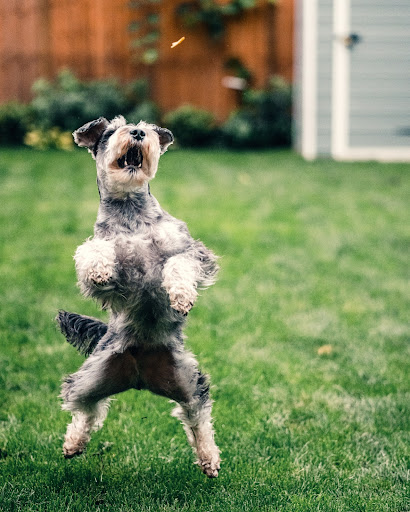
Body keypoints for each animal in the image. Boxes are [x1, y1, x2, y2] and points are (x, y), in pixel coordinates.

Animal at [57, 115, 221, 476]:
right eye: (110, 131)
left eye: (143, 126)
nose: (136, 132)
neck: (131, 215)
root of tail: (140, 377)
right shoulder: (113, 272)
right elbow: (93, 253)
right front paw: (100, 267)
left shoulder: (193, 252)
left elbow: (178, 264)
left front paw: (181, 296)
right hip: (93, 375)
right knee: (85, 407)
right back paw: (73, 443)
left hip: (187, 380)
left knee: (198, 415)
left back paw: (209, 457)